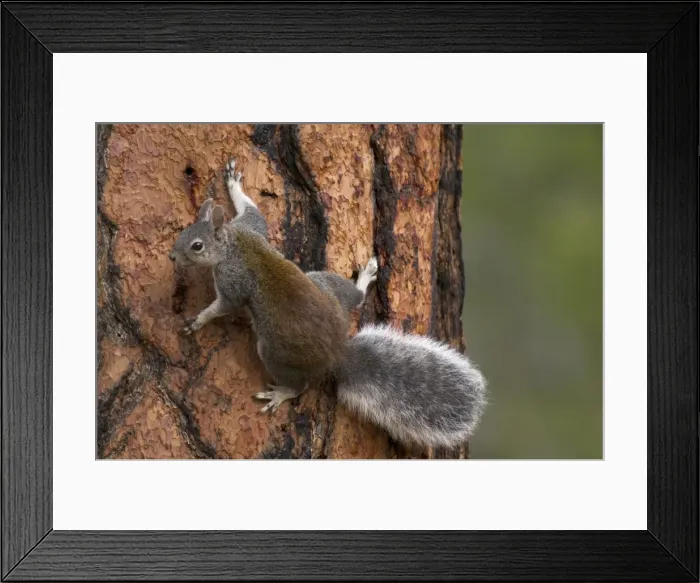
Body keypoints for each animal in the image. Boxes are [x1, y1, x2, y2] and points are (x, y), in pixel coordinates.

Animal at [169, 159, 487, 448]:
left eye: (196, 246)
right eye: (183, 233)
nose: (172, 257)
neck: (233, 245)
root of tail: (337, 352)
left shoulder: (234, 282)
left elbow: (224, 306)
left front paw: (198, 320)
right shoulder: (251, 229)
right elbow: (253, 211)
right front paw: (234, 185)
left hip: (275, 352)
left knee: (300, 385)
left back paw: (281, 393)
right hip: (324, 284)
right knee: (355, 299)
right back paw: (364, 279)